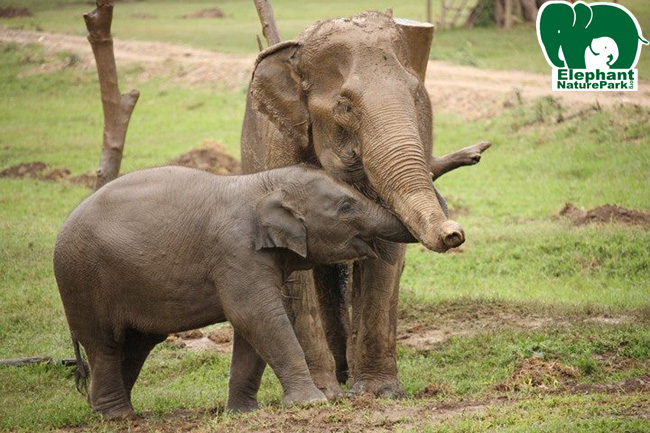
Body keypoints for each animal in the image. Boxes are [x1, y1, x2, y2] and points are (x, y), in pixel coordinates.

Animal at [53, 164, 412, 416]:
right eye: (347, 206)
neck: (262, 183)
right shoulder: (237, 251)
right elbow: (256, 316)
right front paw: (312, 404)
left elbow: (251, 328)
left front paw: (243, 413)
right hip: (82, 281)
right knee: (105, 345)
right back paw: (118, 416)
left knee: (135, 344)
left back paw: (118, 410)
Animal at [240, 11, 488, 398]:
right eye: (345, 106)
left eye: (416, 95)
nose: (454, 233)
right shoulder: (278, 147)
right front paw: (322, 395)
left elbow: (385, 253)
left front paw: (378, 392)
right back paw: (337, 377)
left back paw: (347, 373)